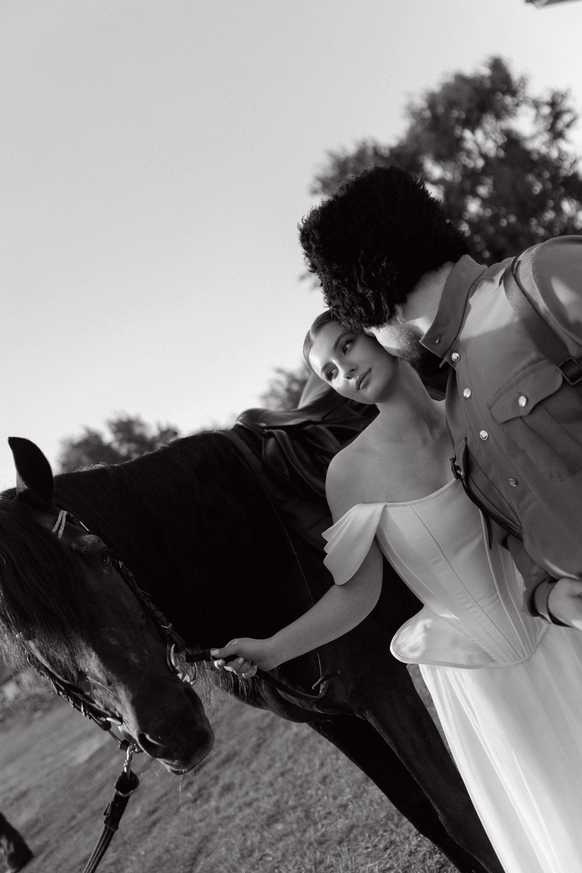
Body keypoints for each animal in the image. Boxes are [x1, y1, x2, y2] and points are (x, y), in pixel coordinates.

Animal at [0, 390, 502, 873]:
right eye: (28, 639)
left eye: (101, 555)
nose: (174, 729)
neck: (240, 548)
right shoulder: (330, 717)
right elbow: (424, 813)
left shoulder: (381, 687)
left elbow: (460, 813)